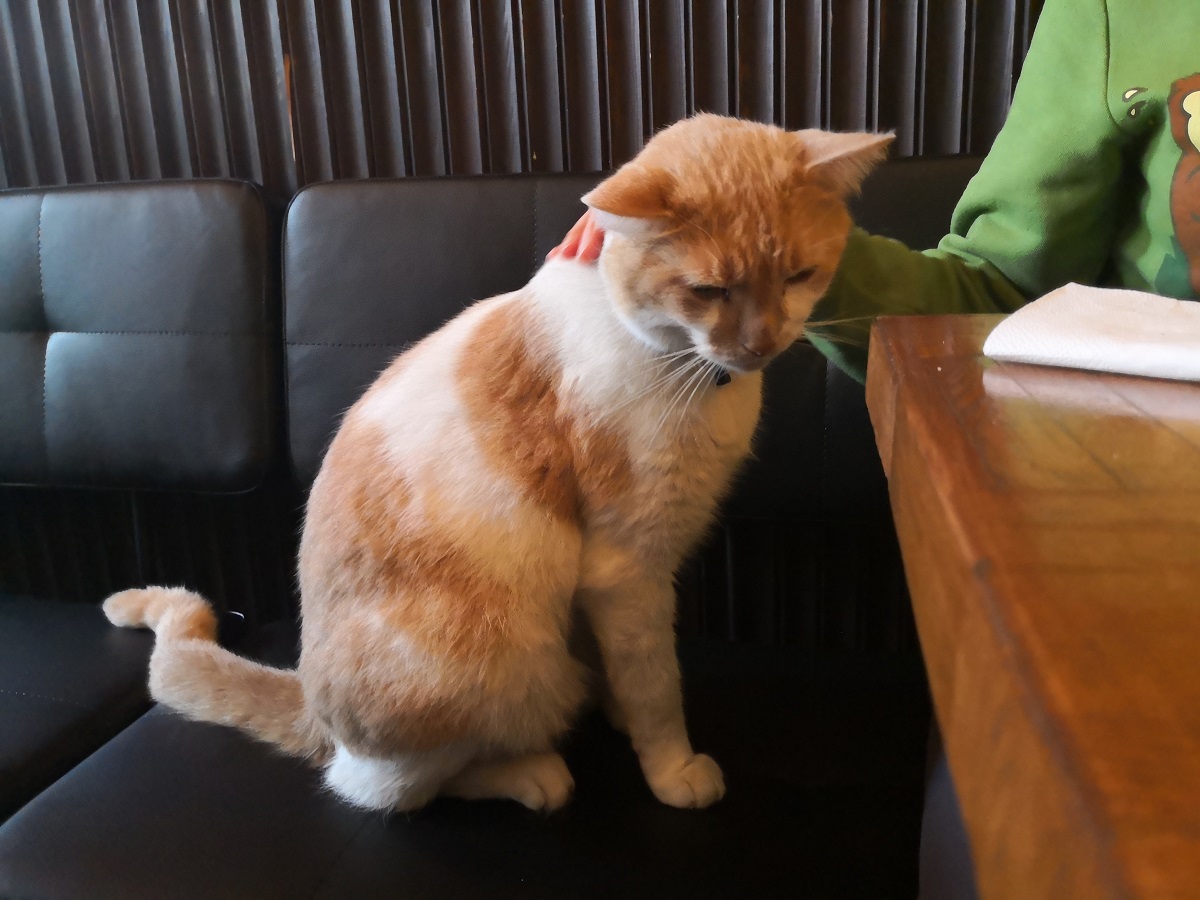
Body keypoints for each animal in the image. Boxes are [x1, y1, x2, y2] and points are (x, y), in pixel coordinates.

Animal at [103, 114, 892, 816]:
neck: (686, 366)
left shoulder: (621, 579)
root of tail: (310, 702)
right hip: (498, 663)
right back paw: (533, 775)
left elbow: (627, 667)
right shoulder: (628, 568)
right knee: (382, 787)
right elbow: (657, 686)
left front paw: (615, 708)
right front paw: (671, 769)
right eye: (708, 292)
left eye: (798, 276)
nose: (760, 344)